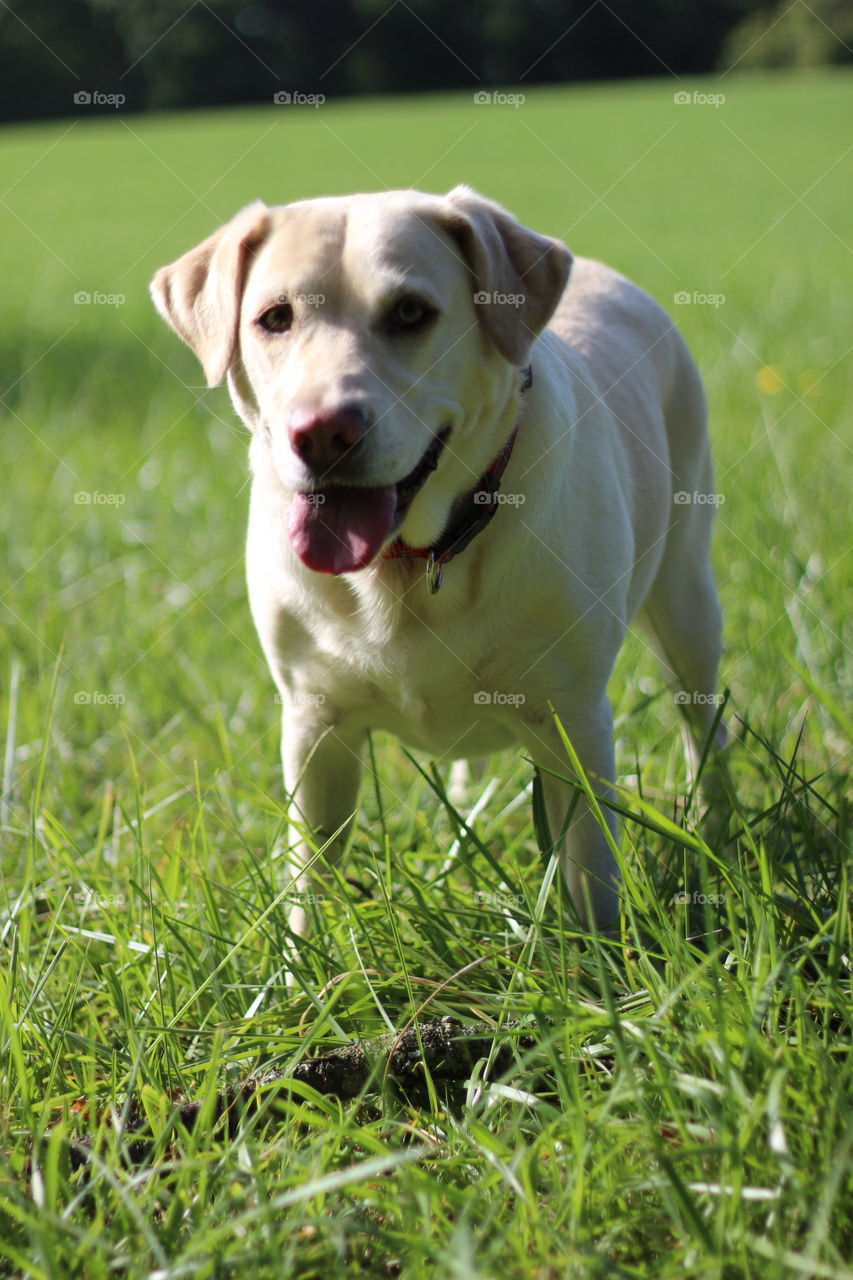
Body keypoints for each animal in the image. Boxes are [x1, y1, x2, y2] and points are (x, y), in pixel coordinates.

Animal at [153, 185, 722, 936]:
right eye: (274, 317)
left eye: (409, 313)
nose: (322, 432)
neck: (407, 565)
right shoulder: (314, 723)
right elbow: (310, 877)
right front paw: (303, 964)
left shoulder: (574, 720)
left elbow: (591, 869)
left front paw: (604, 960)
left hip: (688, 597)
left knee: (703, 724)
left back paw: (720, 829)